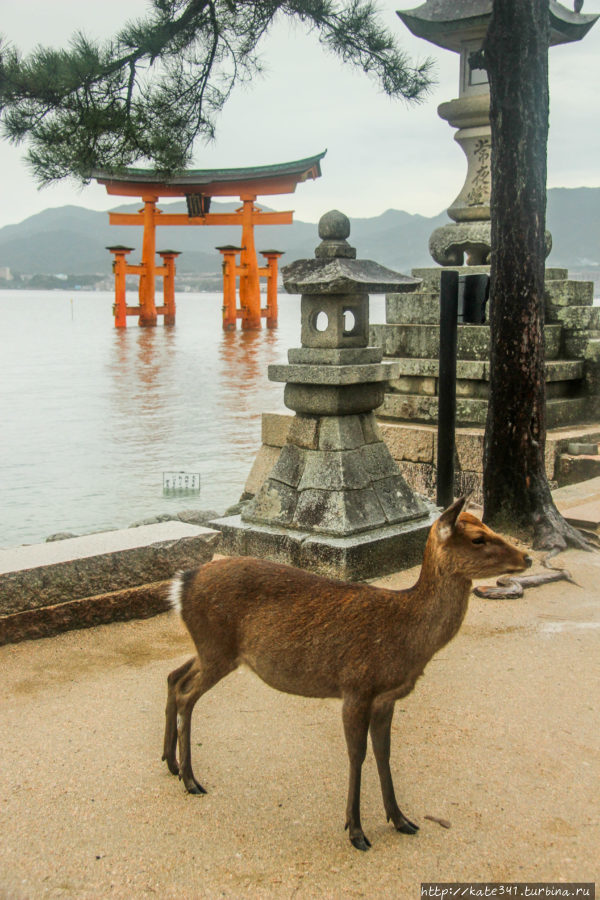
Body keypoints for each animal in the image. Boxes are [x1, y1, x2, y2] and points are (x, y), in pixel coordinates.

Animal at [163, 500, 528, 852]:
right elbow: (357, 755)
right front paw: (356, 831)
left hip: (211, 650)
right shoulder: (356, 687)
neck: (407, 635)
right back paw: (191, 780)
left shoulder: (387, 697)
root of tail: (181, 585)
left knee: (173, 676)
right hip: (217, 649)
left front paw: (401, 819)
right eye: (478, 538)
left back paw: (171, 764)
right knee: (185, 694)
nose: (526, 557)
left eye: (488, 527)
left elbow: (384, 751)